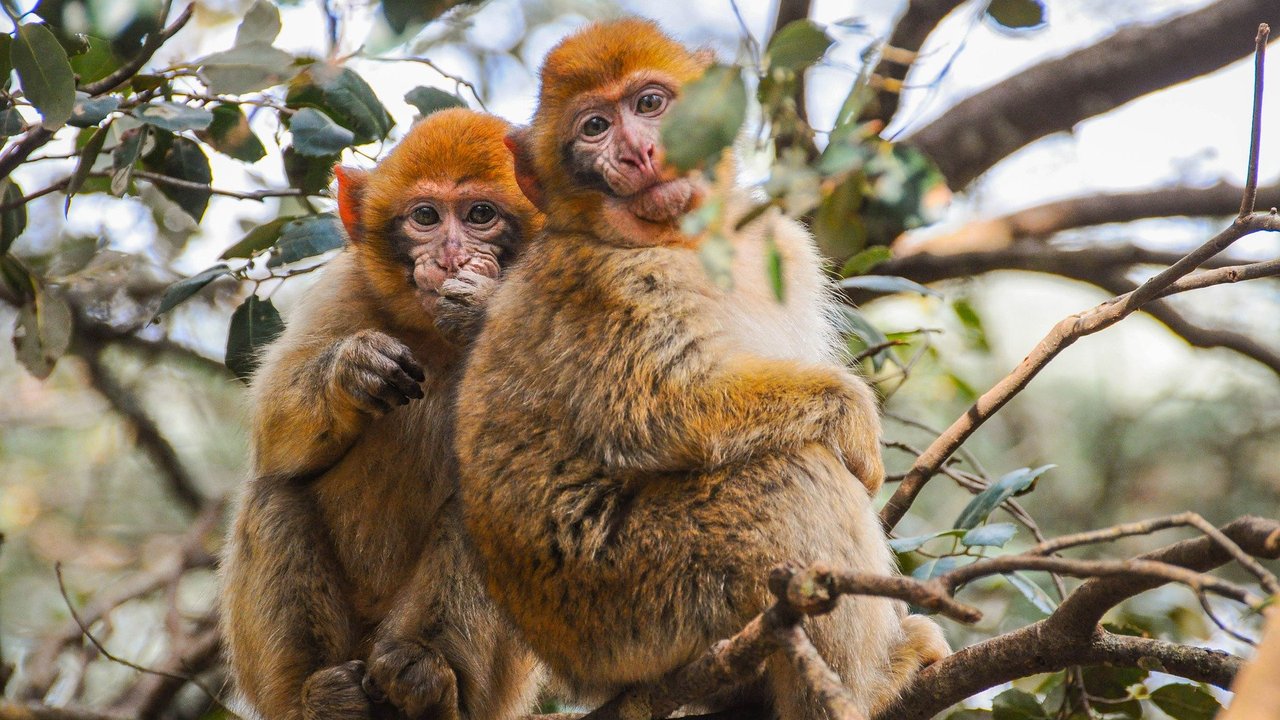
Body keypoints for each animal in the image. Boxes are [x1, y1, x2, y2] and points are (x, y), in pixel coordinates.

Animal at [458, 18, 952, 717]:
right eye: (594, 127)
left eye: (649, 104)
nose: (638, 152)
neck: (684, 239)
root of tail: (576, 670)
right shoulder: (611, 285)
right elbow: (659, 409)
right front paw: (856, 421)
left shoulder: (780, 243)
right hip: (636, 600)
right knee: (793, 476)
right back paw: (870, 690)